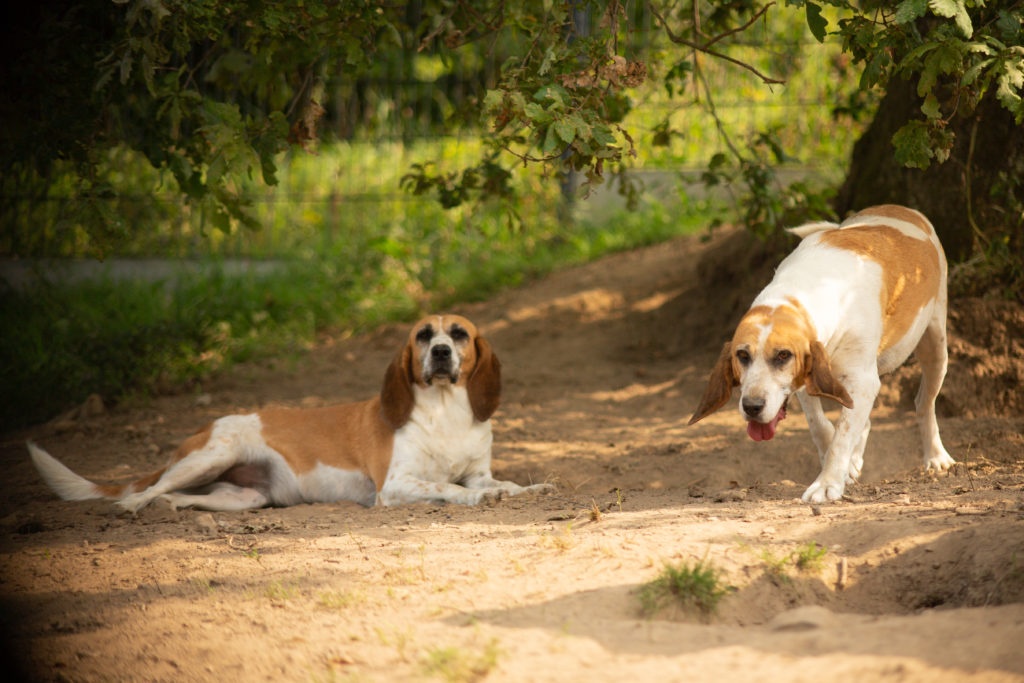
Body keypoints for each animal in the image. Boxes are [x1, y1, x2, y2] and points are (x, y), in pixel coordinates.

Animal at [28, 315, 552, 511]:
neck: (445, 413)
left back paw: (169, 509)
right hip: (210, 458)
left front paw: (530, 489)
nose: (441, 352)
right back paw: (135, 506)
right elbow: (449, 487)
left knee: (175, 498)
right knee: (140, 493)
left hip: (244, 498)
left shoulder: (479, 470)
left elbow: (503, 483)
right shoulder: (397, 485)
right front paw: (475, 499)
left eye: (459, 334)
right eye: (424, 335)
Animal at [688, 205, 958, 505]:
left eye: (782, 355)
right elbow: (821, 426)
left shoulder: (863, 381)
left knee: (924, 402)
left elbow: (842, 435)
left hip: (935, 347)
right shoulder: (808, 381)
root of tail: (903, 209)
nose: (752, 407)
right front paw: (843, 467)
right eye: (743, 356)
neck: (807, 289)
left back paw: (936, 456)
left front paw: (827, 483)